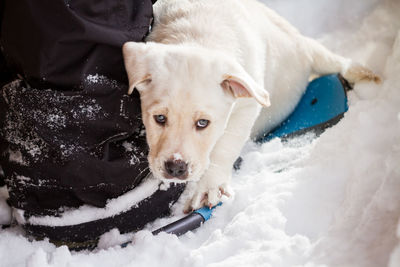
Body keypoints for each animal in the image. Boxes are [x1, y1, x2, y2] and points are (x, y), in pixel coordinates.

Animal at [123, 0, 380, 213]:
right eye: (159, 118)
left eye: (203, 123)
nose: (176, 169)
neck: (198, 35)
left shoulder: (246, 104)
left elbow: (226, 145)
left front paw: (210, 187)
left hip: (311, 51)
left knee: (338, 62)